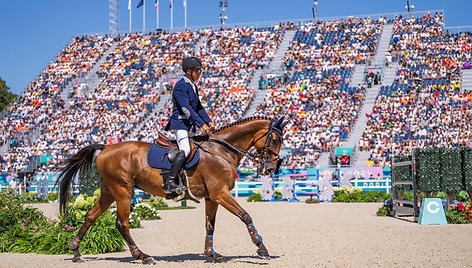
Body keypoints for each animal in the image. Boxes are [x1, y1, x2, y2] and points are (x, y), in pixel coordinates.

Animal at [59, 115, 288, 264]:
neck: (220, 150)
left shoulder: (212, 197)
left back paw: (76, 251)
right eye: (275, 139)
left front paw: (212, 253)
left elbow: (210, 225)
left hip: (108, 193)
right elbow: (245, 215)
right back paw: (143, 256)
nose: (270, 169)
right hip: (123, 191)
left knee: (90, 216)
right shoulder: (220, 193)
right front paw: (261, 247)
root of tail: (105, 148)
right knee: (122, 224)